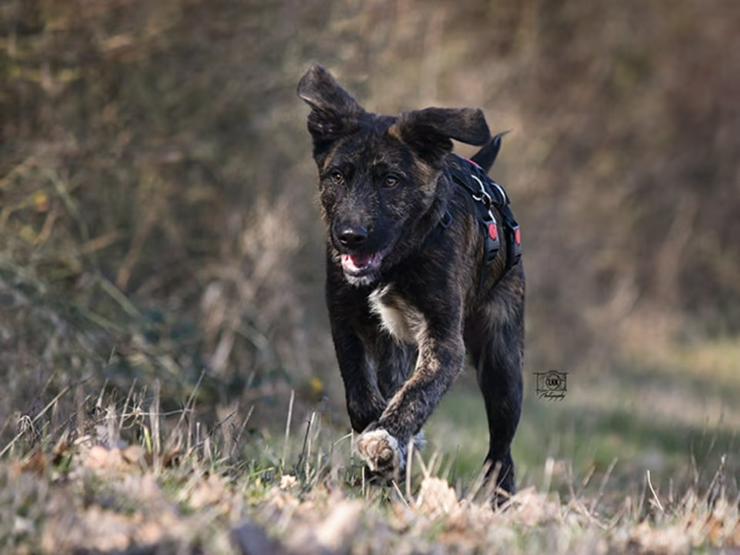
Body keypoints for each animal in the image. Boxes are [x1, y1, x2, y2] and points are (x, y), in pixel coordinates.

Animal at [298, 65, 524, 496]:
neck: (395, 265)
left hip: (502, 362)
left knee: (502, 450)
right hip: (397, 351)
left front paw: (387, 438)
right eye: (337, 176)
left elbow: (419, 392)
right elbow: (359, 393)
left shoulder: (445, 341)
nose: (350, 236)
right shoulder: (344, 319)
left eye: (390, 180)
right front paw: (383, 439)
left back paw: (497, 496)